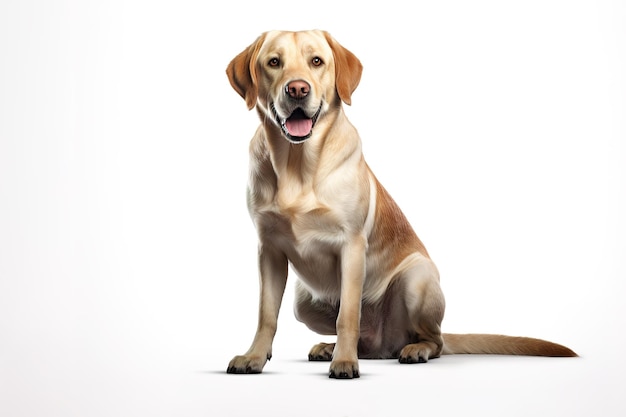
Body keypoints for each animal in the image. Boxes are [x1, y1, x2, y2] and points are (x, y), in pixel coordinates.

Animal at [225, 30, 576, 378]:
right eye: (274, 62)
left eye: (316, 61)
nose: (297, 88)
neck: (297, 165)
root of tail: (385, 344)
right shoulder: (269, 250)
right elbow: (266, 315)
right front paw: (254, 357)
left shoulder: (351, 246)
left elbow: (347, 315)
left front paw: (345, 362)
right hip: (304, 300)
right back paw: (332, 348)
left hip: (416, 278)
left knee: (434, 340)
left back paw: (411, 349)